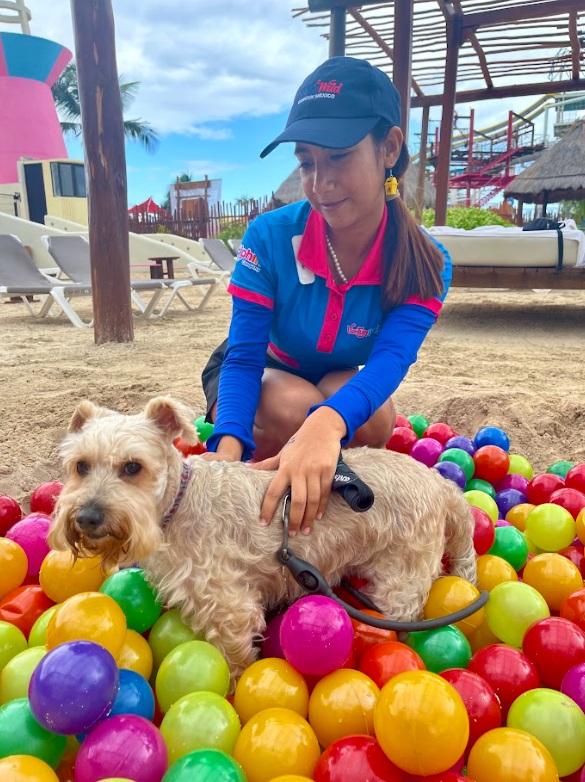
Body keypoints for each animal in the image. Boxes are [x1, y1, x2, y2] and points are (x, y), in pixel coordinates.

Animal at [50, 398, 476, 688]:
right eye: (80, 466)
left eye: (133, 467)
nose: (88, 517)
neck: (177, 503)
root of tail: (442, 486)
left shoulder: (231, 609)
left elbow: (237, 660)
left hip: (401, 584)